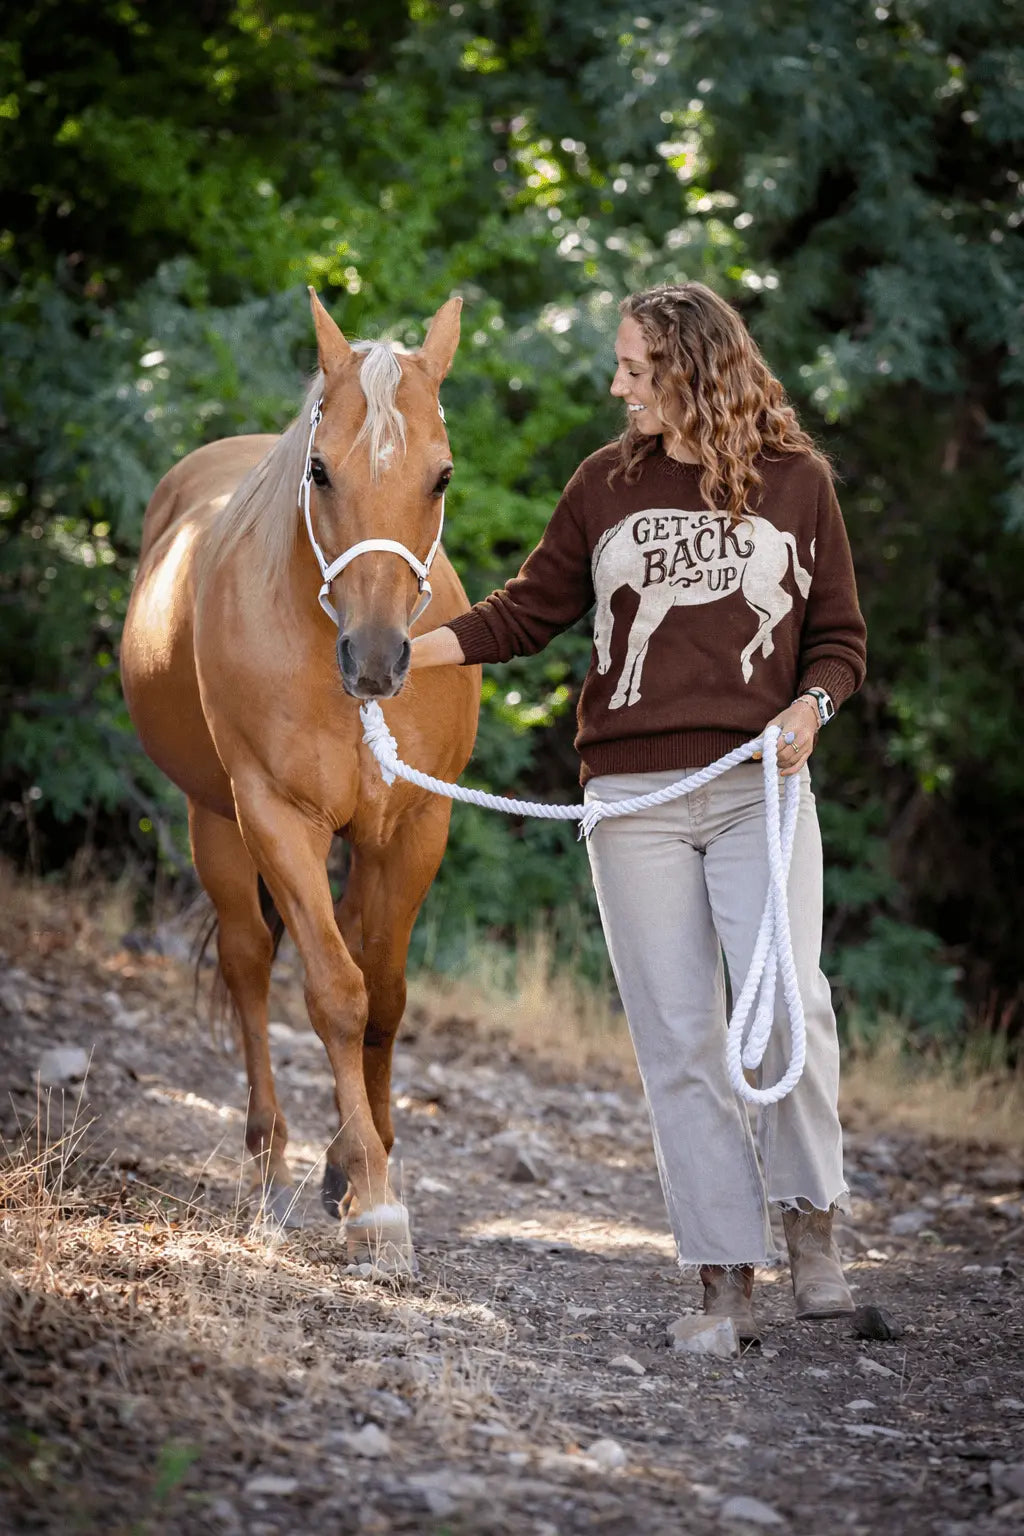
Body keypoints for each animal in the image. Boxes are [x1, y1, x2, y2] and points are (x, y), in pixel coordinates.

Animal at [120, 290, 481, 1268]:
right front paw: (376, 1201)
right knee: (249, 964)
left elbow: (385, 997)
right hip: (214, 820)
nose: (377, 659)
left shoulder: (414, 830)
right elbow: (336, 994)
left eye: (440, 477)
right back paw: (271, 1166)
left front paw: (363, 1170)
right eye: (319, 471)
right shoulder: (278, 818)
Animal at [591, 508, 812, 707]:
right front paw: (633, 695)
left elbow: (635, 642)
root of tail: (780, 536)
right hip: (752, 592)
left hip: (756, 588)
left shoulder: (657, 601)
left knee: (784, 603)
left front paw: (618, 696)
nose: (602, 667)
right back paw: (762, 652)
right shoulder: (648, 603)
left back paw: (745, 658)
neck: (631, 553)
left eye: (595, 635)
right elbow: (642, 646)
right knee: (768, 614)